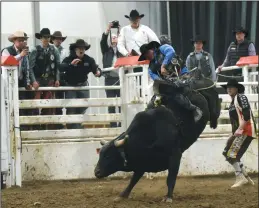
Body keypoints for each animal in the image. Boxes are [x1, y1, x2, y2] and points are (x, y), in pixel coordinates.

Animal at [94, 79, 222, 202]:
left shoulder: (175, 155)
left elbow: (171, 178)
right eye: (100, 155)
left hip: (211, 100)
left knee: (217, 102)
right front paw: (122, 195)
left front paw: (168, 197)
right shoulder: (142, 162)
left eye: (108, 156)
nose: (96, 172)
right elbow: (133, 180)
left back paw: (212, 120)